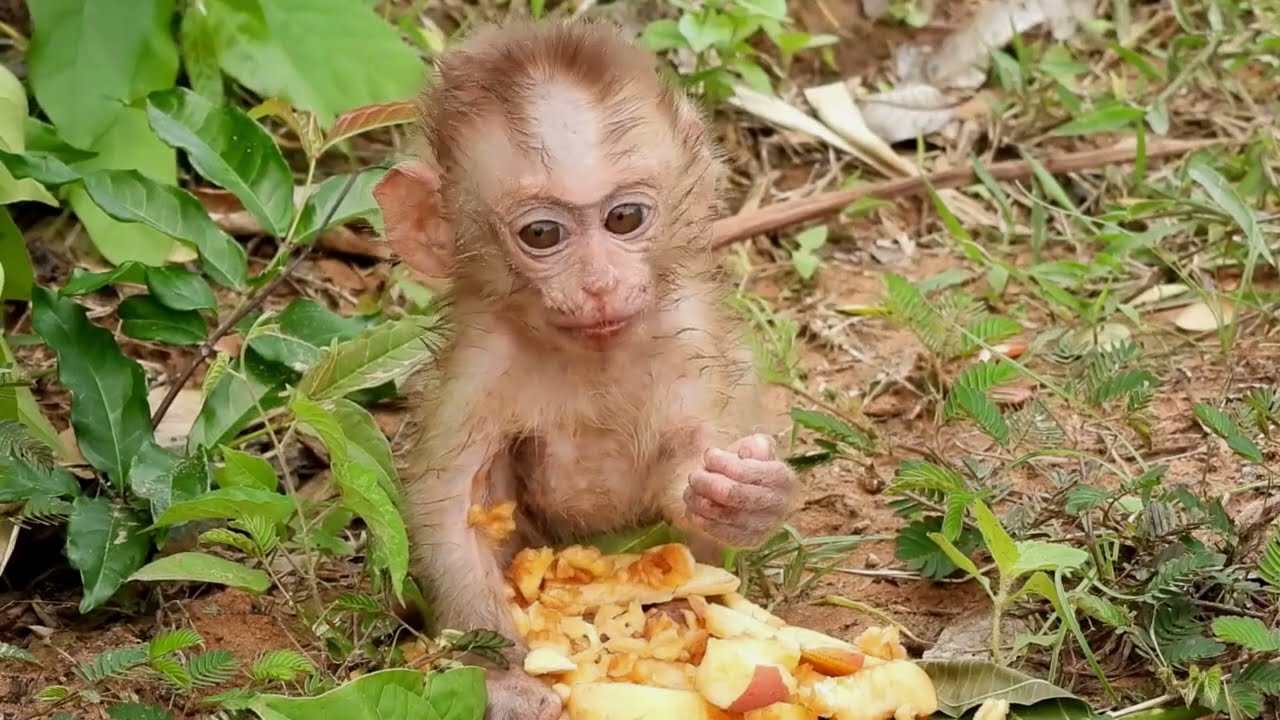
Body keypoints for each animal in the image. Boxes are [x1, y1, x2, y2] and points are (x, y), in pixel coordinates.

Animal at [373, 20, 798, 720]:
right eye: (542, 234)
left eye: (624, 218)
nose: (599, 284)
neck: (590, 353)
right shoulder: (478, 368)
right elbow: (453, 506)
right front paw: (508, 678)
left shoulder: (691, 340)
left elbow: (694, 468)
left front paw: (745, 498)